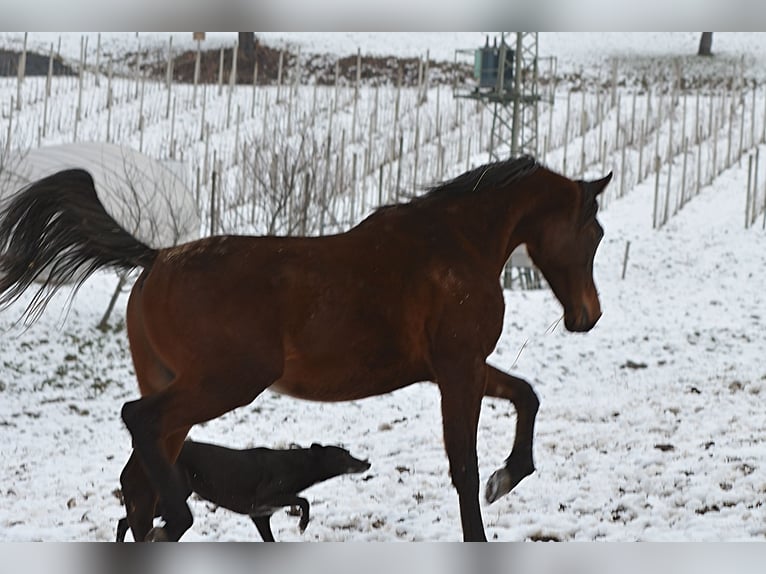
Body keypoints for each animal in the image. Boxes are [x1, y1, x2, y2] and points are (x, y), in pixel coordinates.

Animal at [115, 444, 376, 544]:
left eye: (349, 452)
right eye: (342, 456)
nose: (367, 463)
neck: (296, 465)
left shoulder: (260, 516)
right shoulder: (265, 498)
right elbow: (304, 500)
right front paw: (302, 525)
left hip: (166, 501)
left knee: (123, 521)